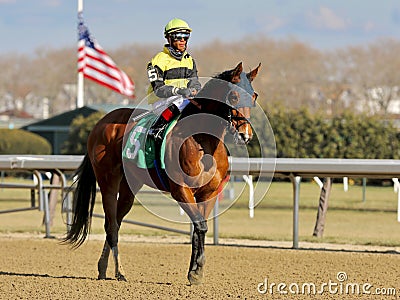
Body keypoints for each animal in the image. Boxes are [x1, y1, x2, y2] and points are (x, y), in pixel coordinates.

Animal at [63, 60, 260, 284]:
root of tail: (99, 124)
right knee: (111, 225)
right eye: (234, 96)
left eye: (254, 96)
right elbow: (200, 226)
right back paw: (119, 271)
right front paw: (196, 271)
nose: (245, 135)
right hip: (108, 182)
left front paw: (195, 271)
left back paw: (103, 268)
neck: (202, 140)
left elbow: (198, 228)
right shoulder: (181, 189)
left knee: (117, 221)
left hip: (130, 186)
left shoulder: (208, 193)